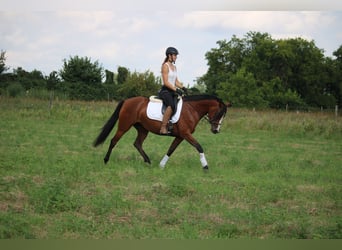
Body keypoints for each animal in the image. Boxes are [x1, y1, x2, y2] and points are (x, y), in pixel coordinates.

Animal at [93, 94, 230, 170]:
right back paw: (106, 160)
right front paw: (205, 166)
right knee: (114, 140)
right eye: (219, 113)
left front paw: (161, 165)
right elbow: (199, 147)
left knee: (137, 144)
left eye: (223, 115)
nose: (216, 130)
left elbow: (171, 150)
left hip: (143, 129)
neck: (192, 109)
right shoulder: (186, 134)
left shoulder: (181, 136)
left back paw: (148, 162)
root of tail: (127, 101)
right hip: (124, 126)